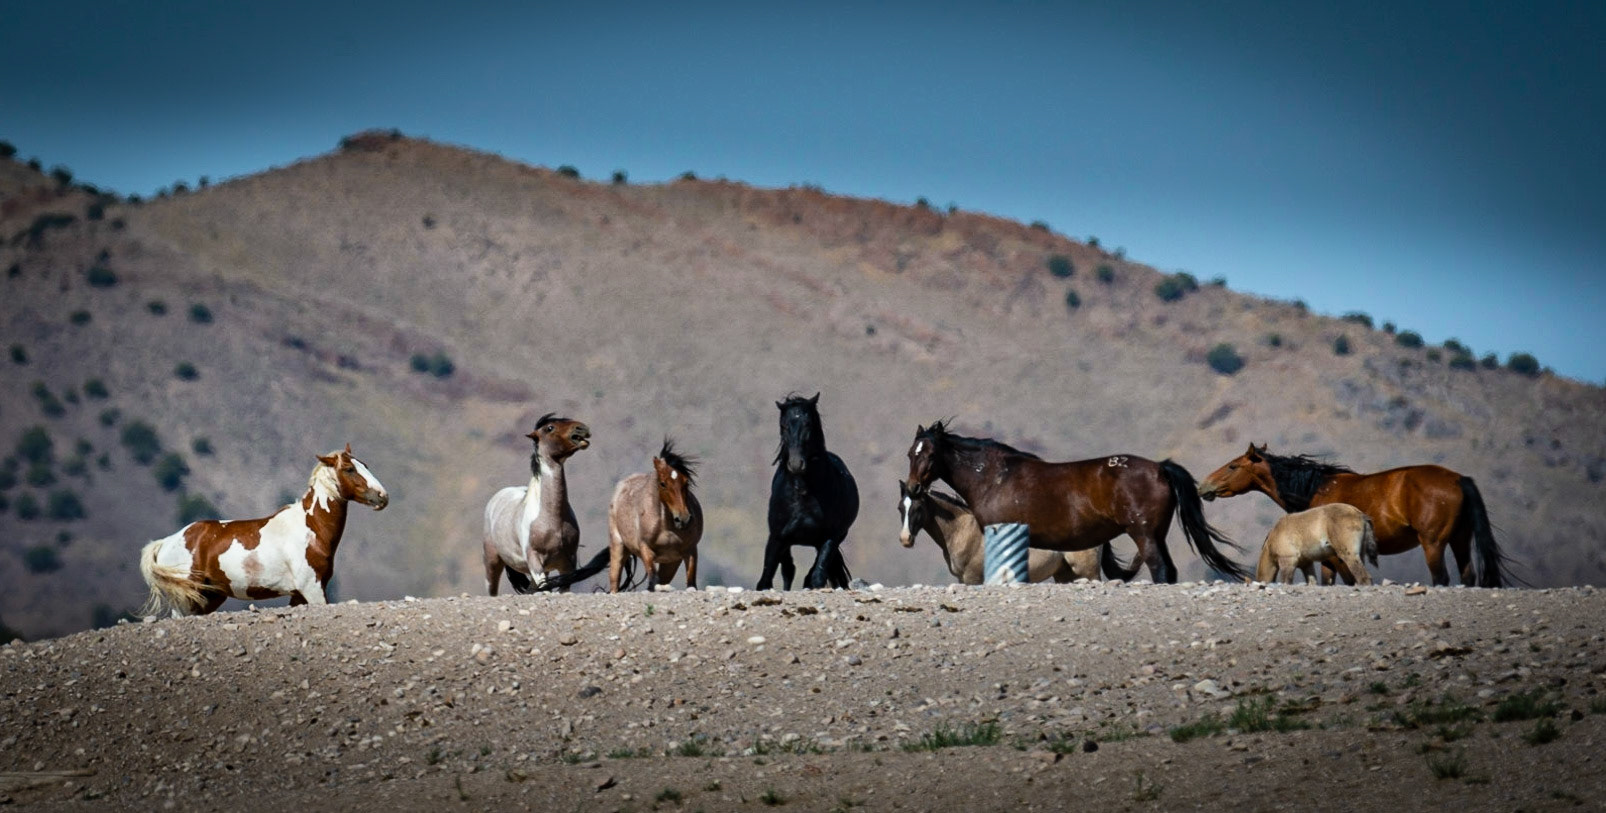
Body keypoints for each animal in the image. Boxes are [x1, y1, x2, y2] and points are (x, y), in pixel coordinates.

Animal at [138, 444, 388, 617]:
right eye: (349, 469)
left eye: (365, 465)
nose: (382, 496)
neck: (310, 529)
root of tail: (167, 542)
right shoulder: (312, 589)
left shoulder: (299, 595)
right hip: (186, 600)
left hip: (209, 597)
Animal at [482, 414, 591, 595]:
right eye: (550, 428)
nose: (582, 429)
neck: (552, 519)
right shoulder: (535, 561)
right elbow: (544, 589)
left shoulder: (568, 563)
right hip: (493, 562)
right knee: (492, 589)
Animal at [759, 393, 859, 590]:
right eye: (783, 426)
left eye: (808, 424)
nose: (796, 464)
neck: (803, 492)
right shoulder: (777, 537)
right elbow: (766, 578)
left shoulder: (829, 538)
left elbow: (817, 576)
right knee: (788, 570)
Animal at [897, 481, 1141, 584]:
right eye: (901, 508)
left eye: (918, 508)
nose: (905, 539)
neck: (963, 530)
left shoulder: (973, 579)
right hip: (1065, 575)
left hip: (1087, 572)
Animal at [1197, 444, 1516, 587]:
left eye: (1233, 466)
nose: (1203, 486)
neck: (1315, 488)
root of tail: (1459, 479)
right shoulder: (1327, 557)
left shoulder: (1336, 557)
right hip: (1460, 540)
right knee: (1467, 575)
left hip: (1433, 544)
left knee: (1442, 577)